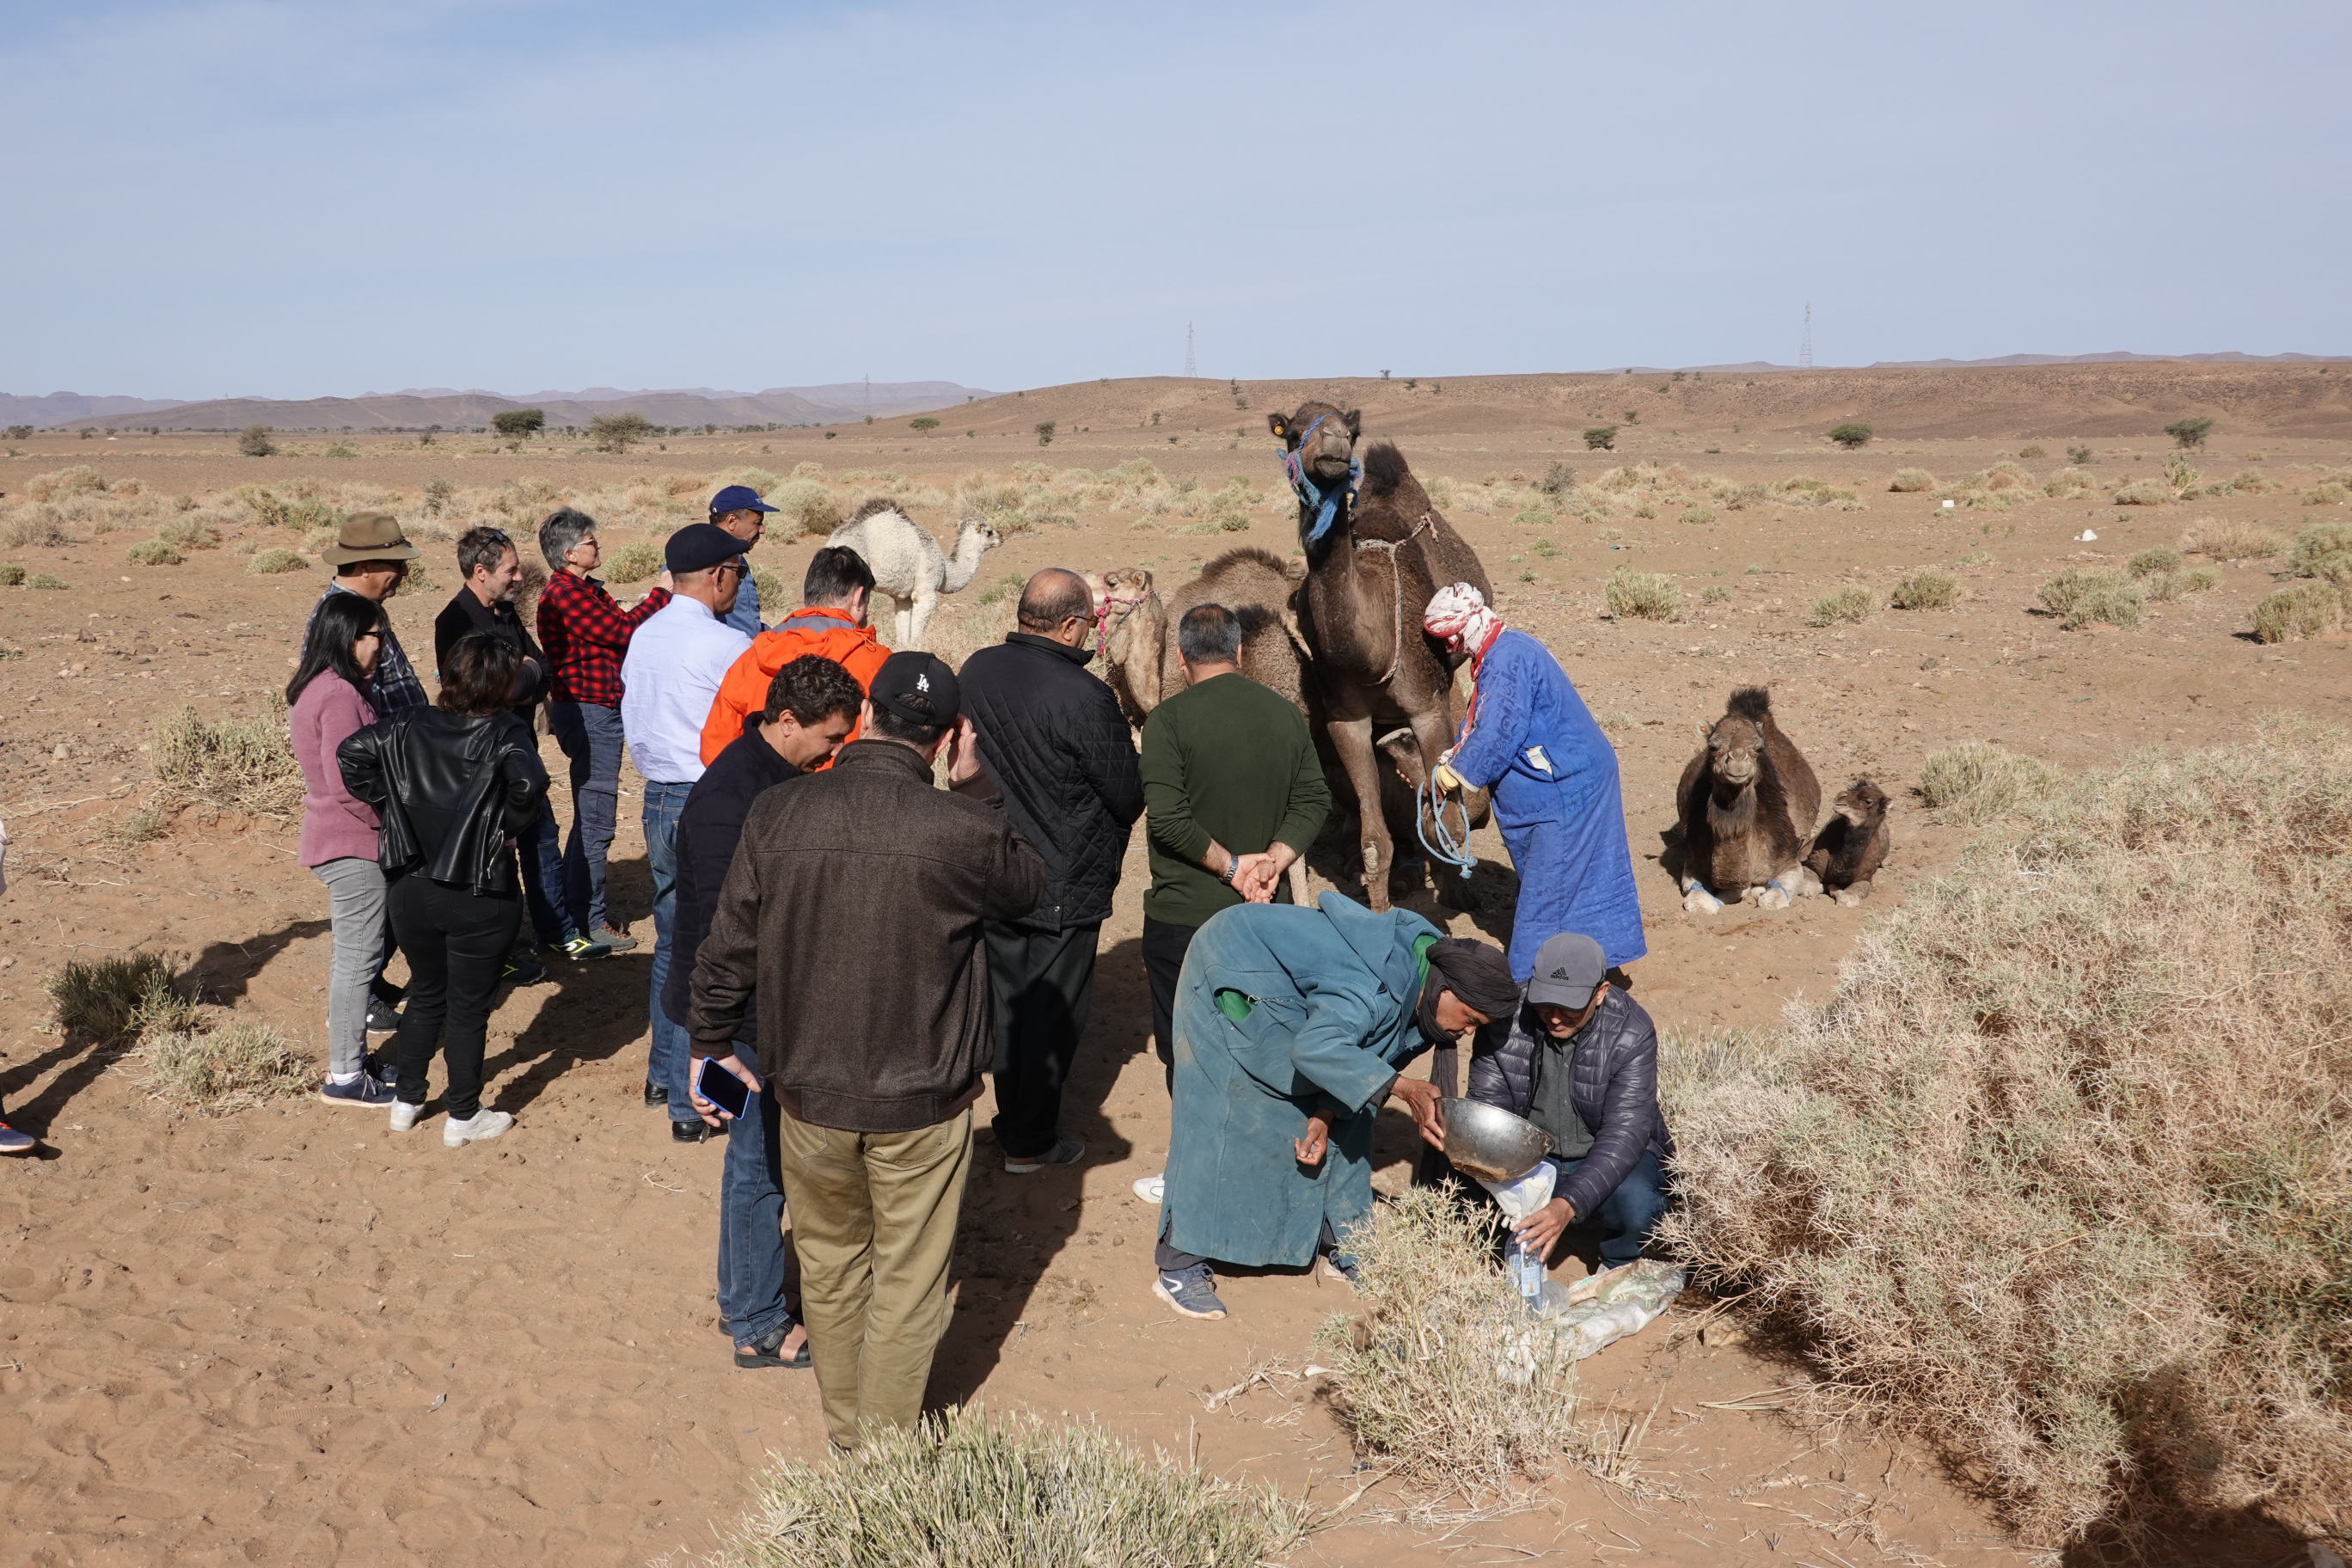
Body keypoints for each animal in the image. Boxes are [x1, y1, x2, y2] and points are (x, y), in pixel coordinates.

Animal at [828, 500, 1001, 653]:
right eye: (989, 531)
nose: (1001, 537)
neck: (945, 571)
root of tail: (834, 541)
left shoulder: (903, 597)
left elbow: (904, 630)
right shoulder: (925, 592)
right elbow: (918, 633)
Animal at [1270, 404, 1486, 912]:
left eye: (1351, 432)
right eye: (1293, 433)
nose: (1333, 446)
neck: (1374, 643)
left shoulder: (1427, 709)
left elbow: (1446, 822)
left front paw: (1455, 894)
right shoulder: (1346, 719)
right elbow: (1376, 844)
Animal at [1675, 682, 1816, 912]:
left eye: (1759, 747)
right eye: (1712, 746)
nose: (1738, 761)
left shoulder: (1789, 863)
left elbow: (1770, 900)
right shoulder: (1692, 863)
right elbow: (1698, 901)